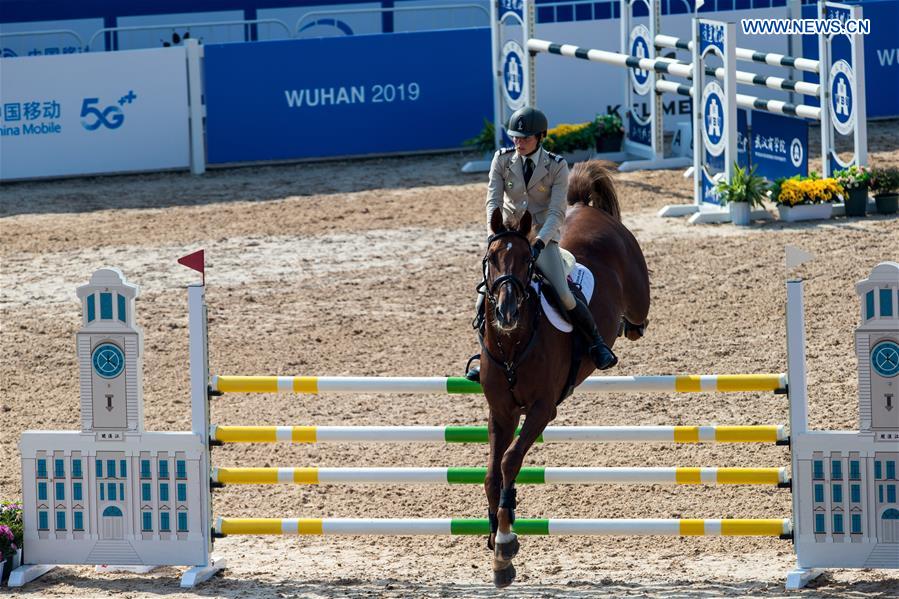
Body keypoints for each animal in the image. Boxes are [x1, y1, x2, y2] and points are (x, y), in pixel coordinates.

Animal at [482, 161, 652, 592]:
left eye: (527, 262)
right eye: (491, 259)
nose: (507, 312)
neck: (513, 344)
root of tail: (583, 207)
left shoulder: (543, 408)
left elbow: (510, 461)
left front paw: (505, 544)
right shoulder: (501, 412)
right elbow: (493, 473)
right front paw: (495, 535)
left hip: (638, 300)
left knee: (635, 321)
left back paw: (616, 338)